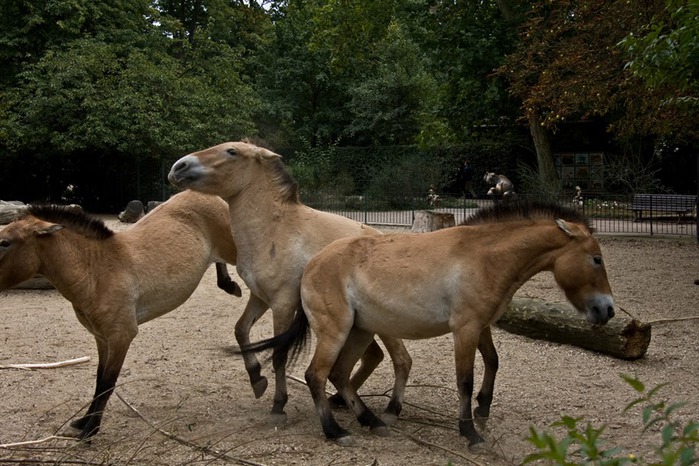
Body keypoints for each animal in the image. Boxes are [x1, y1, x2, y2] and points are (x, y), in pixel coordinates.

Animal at [0, 191, 242, 438]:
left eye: (5, 242)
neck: (96, 272)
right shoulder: (102, 339)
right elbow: (99, 382)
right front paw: (83, 422)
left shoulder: (121, 337)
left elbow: (108, 383)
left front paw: (91, 429)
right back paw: (229, 285)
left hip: (234, 246)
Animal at [167, 140, 412, 424]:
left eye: (232, 151)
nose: (179, 167)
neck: (275, 231)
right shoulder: (260, 298)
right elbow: (241, 330)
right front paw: (256, 379)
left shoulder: (283, 304)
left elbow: (279, 354)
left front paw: (278, 404)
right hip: (355, 323)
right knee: (372, 357)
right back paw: (340, 400)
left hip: (381, 322)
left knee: (401, 359)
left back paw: (391, 410)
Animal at [243, 201, 616, 448]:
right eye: (596, 259)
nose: (608, 310)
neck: (485, 257)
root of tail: (312, 264)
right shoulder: (465, 329)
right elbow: (464, 380)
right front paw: (470, 433)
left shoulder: (480, 326)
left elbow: (493, 362)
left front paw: (483, 408)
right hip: (336, 332)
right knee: (317, 375)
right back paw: (336, 432)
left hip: (360, 332)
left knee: (339, 374)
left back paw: (371, 421)